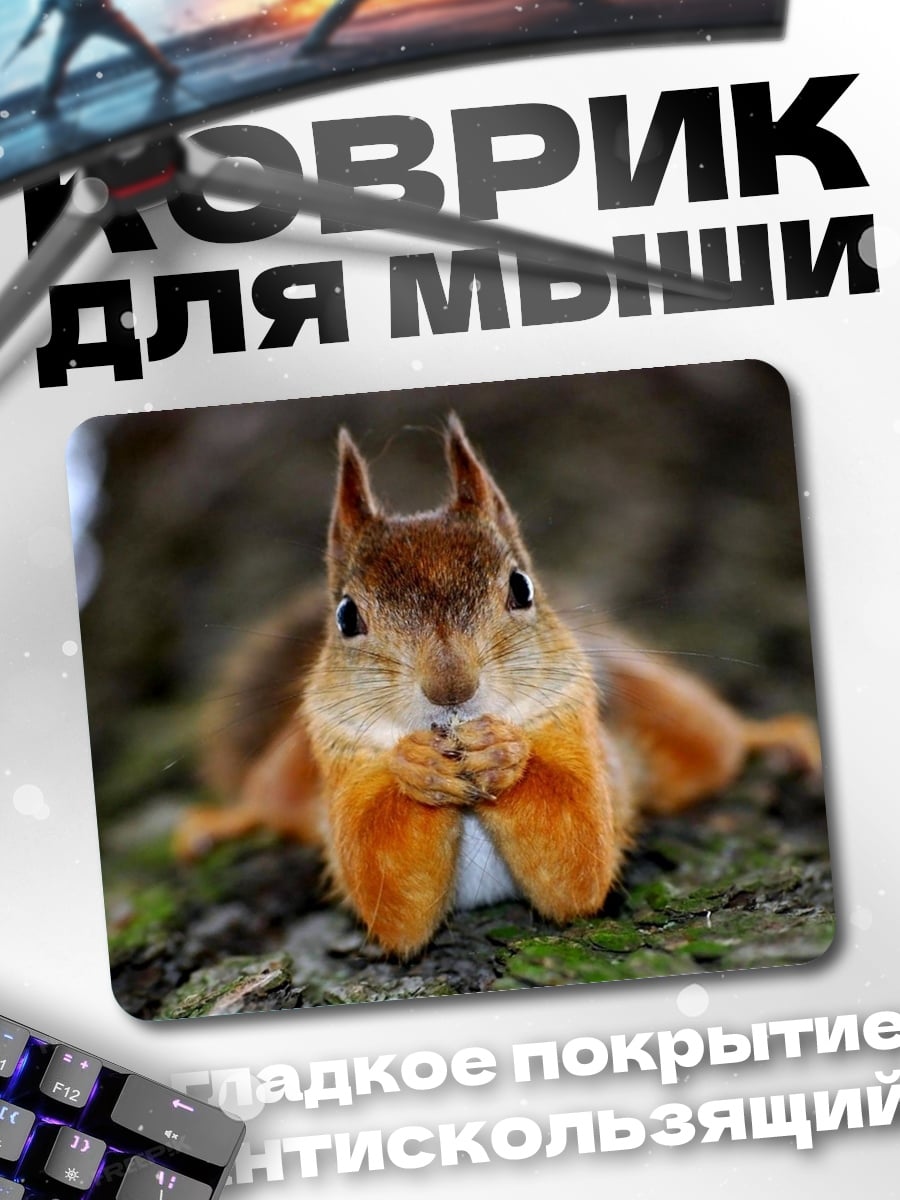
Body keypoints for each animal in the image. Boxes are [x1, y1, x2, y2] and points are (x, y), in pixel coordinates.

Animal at [174, 415, 821, 958]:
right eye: (346, 617)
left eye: (521, 587)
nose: (450, 687)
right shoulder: (342, 760)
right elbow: (389, 895)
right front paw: (416, 767)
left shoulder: (575, 728)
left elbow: (579, 858)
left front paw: (503, 754)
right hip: (289, 771)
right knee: (268, 801)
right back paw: (219, 823)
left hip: (666, 714)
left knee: (716, 743)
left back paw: (774, 735)